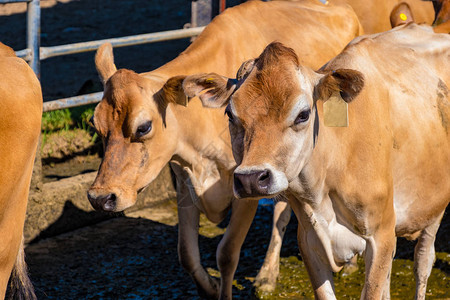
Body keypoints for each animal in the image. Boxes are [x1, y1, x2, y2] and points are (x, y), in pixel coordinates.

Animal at [86, 0, 364, 298]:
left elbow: (227, 253)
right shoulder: (184, 180)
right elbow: (186, 254)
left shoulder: (246, 185)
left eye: (143, 127)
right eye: (96, 125)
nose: (100, 197)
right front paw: (211, 286)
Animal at [184, 24, 450, 300]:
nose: (251, 179)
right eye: (229, 114)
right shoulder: (309, 240)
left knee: (423, 261)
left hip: (433, 206)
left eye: (303, 114)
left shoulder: (382, 234)